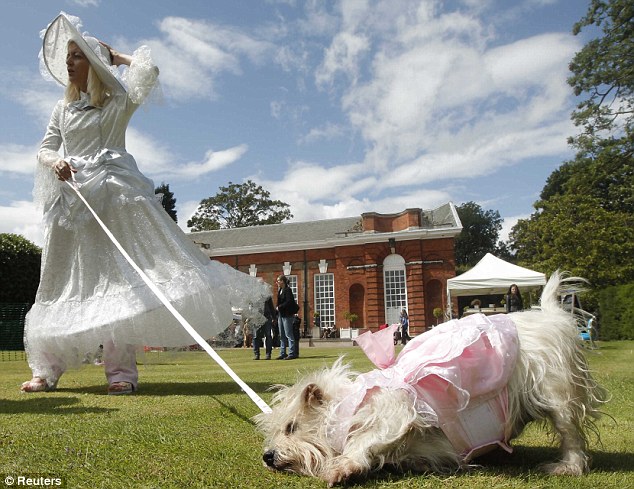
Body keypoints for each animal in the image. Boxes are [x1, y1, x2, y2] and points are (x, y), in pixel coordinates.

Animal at [254, 270, 604, 484]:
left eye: (291, 427)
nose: (267, 456)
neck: (348, 407)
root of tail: (550, 316)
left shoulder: (397, 410)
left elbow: (364, 439)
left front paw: (343, 465)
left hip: (558, 395)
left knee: (570, 433)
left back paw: (568, 465)